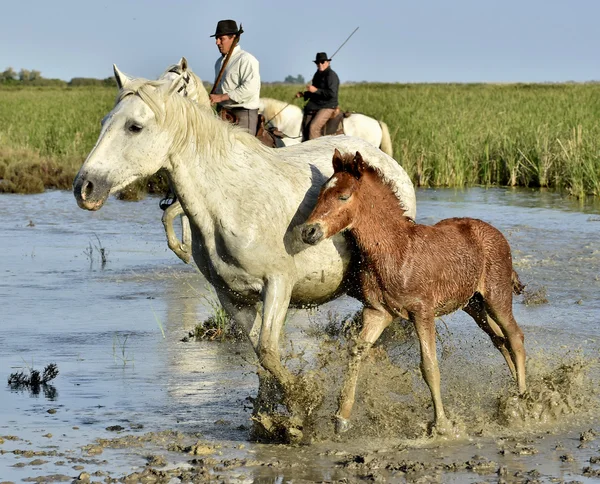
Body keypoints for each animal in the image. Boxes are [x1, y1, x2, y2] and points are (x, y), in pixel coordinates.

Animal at [300, 150, 524, 434]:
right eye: (321, 193)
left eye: (343, 196)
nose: (309, 231)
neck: (395, 250)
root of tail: (498, 235)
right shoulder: (378, 312)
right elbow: (356, 352)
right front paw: (341, 417)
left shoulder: (422, 312)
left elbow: (429, 365)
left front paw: (441, 425)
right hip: (474, 305)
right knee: (500, 340)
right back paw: (512, 396)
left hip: (496, 296)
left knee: (515, 337)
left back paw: (525, 398)